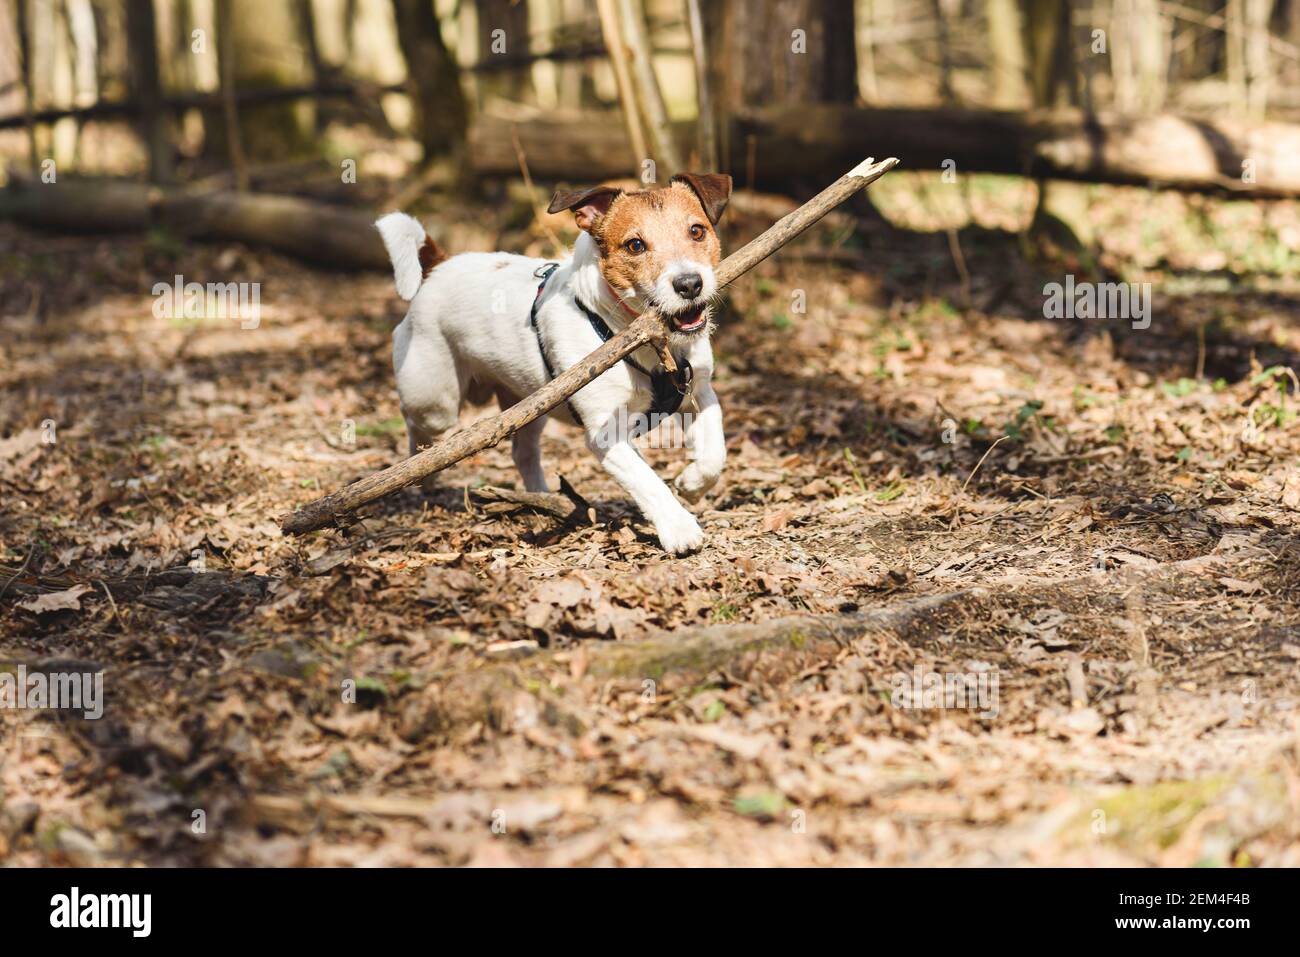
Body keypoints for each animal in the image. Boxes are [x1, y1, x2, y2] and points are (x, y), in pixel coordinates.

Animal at [379, 174, 733, 553]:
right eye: (635, 245)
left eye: (697, 231)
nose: (689, 284)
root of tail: (439, 266)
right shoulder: (605, 434)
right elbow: (647, 481)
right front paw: (679, 527)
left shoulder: (699, 393)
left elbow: (715, 452)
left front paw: (693, 482)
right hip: (435, 402)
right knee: (416, 425)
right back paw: (420, 472)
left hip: (529, 405)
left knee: (523, 452)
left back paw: (541, 498)